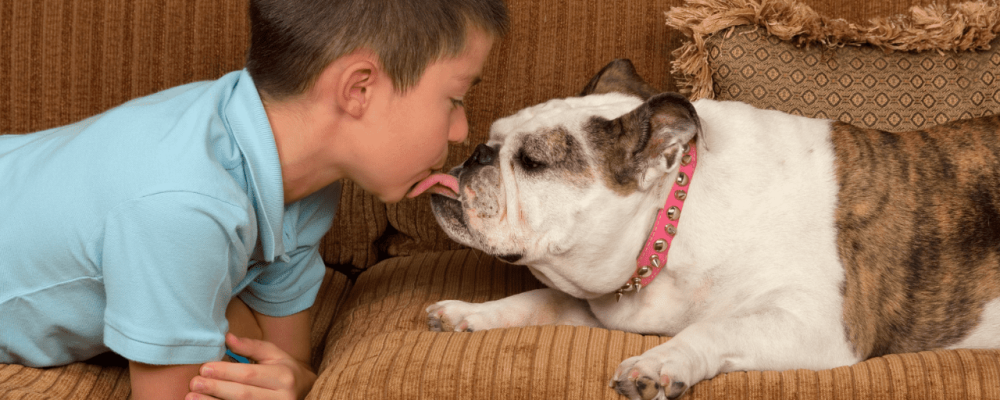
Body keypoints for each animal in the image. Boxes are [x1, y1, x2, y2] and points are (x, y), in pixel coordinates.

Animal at [412, 57, 1000, 398]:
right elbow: (538, 299)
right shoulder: (603, 305)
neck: (672, 219)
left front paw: (660, 360)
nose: (476, 154)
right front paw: (470, 314)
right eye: (492, 137)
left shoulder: (818, 322)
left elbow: (714, 328)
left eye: (532, 163)